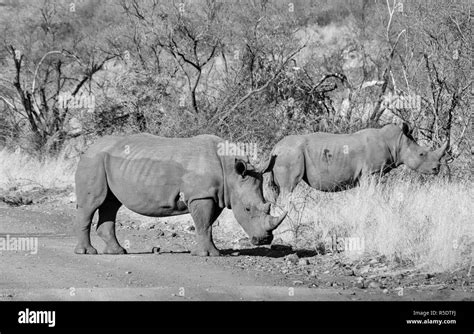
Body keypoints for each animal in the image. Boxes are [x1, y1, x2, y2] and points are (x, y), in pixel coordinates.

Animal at [73, 132, 286, 256]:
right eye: (247, 209)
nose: (264, 240)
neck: (230, 172)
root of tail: (88, 147)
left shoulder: (215, 195)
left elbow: (207, 224)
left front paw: (209, 252)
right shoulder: (201, 195)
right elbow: (204, 224)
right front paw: (207, 255)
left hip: (106, 162)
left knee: (111, 203)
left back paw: (117, 252)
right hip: (93, 161)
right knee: (92, 204)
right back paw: (86, 252)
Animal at [260, 122, 448, 202]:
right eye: (422, 154)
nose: (437, 169)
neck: (397, 142)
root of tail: (275, 147)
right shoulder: (371, 172)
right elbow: (371, 194)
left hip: (283, 155)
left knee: (275, 190)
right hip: (290, 154)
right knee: (287, 189)